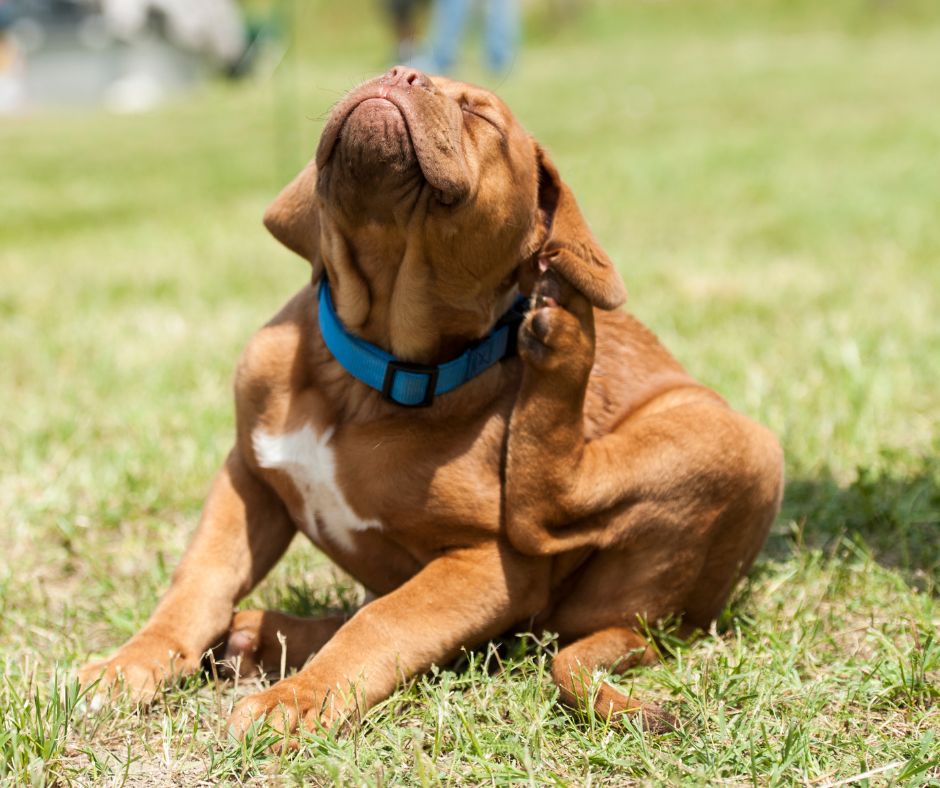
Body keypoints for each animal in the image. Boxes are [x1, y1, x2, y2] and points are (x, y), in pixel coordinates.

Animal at [79, 66, 784, 732]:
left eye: (483, 117)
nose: (400, 75)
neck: (368, 372)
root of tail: (662, 624)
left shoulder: (489, 565)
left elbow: (386, 623)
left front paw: (298, 701)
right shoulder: (248, 476)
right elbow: (198, 581)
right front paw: (130, 664)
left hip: (739, 443)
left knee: (547, 510)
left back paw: (566, 337)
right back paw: (261, 636)